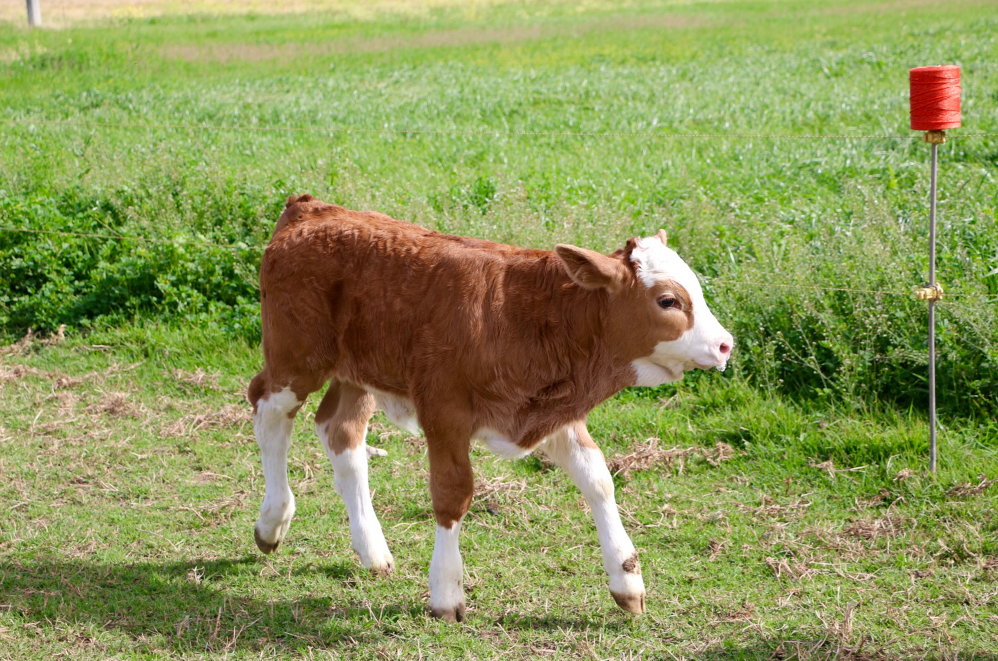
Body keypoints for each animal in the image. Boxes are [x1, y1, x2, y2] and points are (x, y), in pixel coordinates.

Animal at [250, 193, 736, 620]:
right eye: (668, 300)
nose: (725, 344)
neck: (522, 316)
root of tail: (310, 208)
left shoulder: (555, 411)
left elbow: (598, 480)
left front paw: (627, 579)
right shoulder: (444, 412)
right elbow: (452, 494)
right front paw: (446, 592)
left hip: (358, 373)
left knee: (341, 432)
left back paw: (372, 550)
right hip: (296, 359)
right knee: (267, 409)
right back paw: (273, 520)